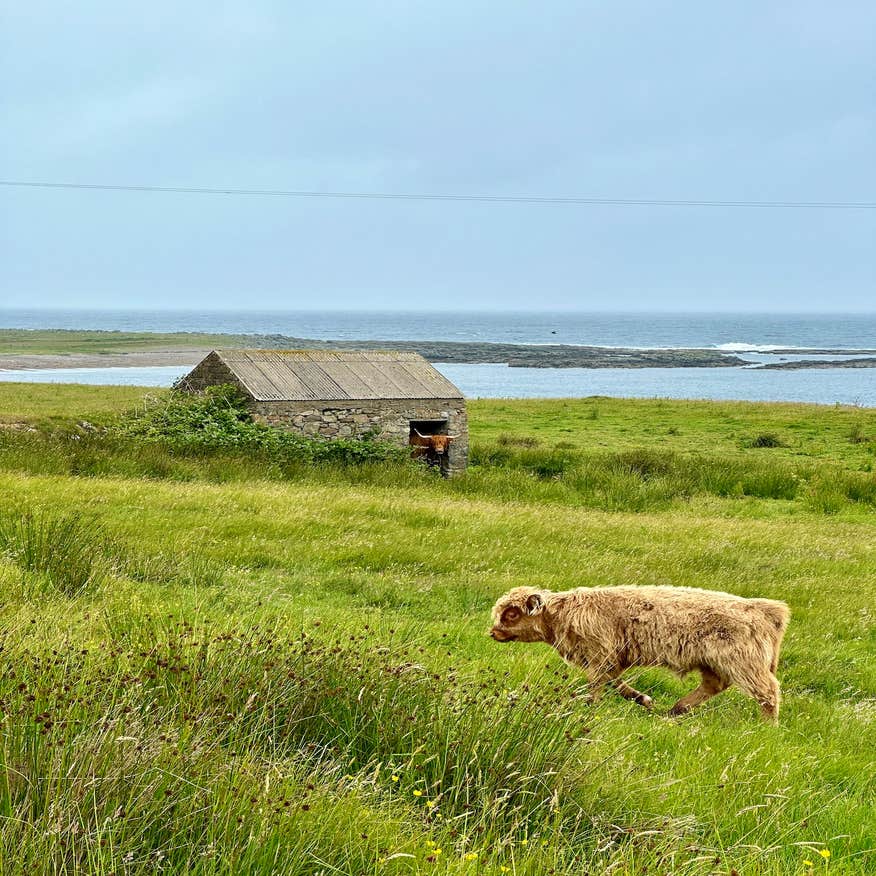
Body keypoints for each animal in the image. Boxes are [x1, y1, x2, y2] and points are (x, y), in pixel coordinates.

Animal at [490, 584, 792, 724]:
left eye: (512, 614)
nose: (492, 633)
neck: (562, 615)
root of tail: (763, 608)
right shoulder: (612, 659)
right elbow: (616, 682)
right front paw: (643, 699)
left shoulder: (601, 655)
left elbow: (598, 684)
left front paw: (589, 705)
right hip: (713, 663)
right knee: (713, 685)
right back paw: (675, 710)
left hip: (744, 663)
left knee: (768, 691)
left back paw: (769, 725)